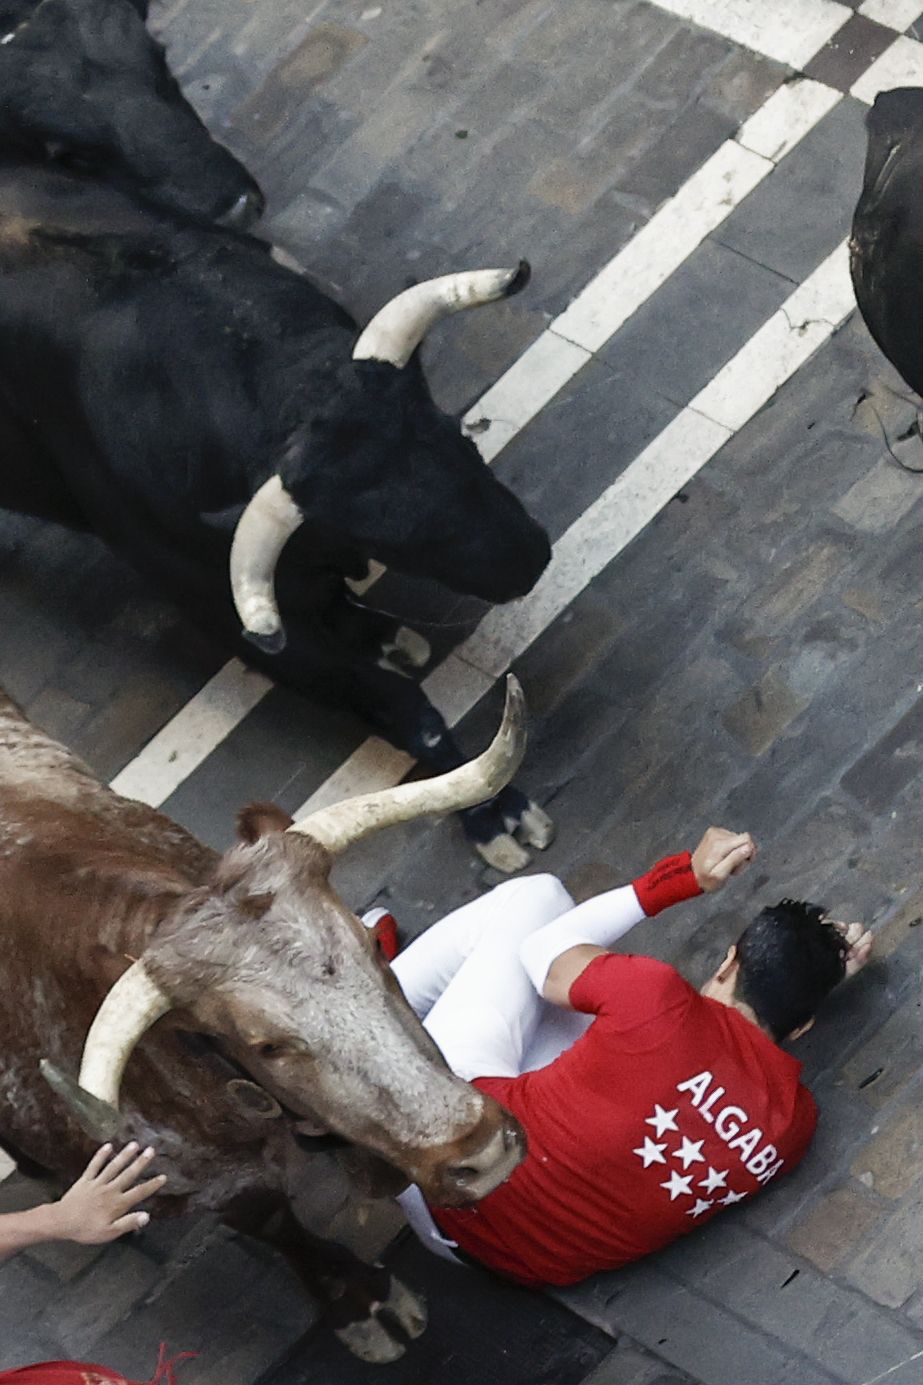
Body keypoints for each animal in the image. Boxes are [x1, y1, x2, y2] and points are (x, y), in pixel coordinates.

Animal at [0, 159, 548, 864]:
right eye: (386, 534)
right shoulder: (233, 619)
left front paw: (378, 631)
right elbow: (399, 705)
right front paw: (493, 814)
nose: (532, 558)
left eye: (457, 435)